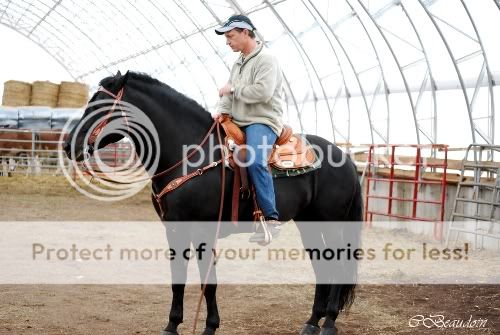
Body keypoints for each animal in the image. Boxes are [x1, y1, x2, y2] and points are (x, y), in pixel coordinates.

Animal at [64, 71, 362, 335]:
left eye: (100, 106)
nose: (68, 145)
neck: (190, 155)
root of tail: (344, 158)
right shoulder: (174, 229)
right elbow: (178, 279)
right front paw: (171, 326)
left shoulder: (203, 231)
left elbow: (209, 283)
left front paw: (209, 327)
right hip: (309, 224)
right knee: (322, 266)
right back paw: (312, 322)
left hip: (332, 224)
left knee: (337, 265)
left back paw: (329, 323)